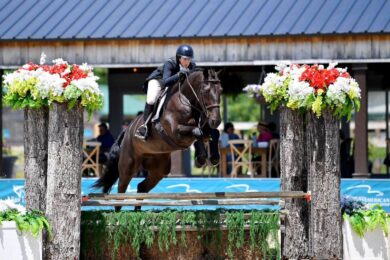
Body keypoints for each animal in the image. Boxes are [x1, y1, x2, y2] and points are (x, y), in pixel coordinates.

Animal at [93, 68, 222, 210]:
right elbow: (197, 132)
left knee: (142, 187)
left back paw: (137, 212)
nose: (216, 121)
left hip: (159, 168)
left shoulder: (203, 128)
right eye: (206, 90)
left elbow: (213, 133)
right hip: (128, 165)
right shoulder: (176, 133)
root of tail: (126, 131)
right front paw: (201, 159)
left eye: (220, 90)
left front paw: (213, 158)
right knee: (121, 191)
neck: (187, 101)